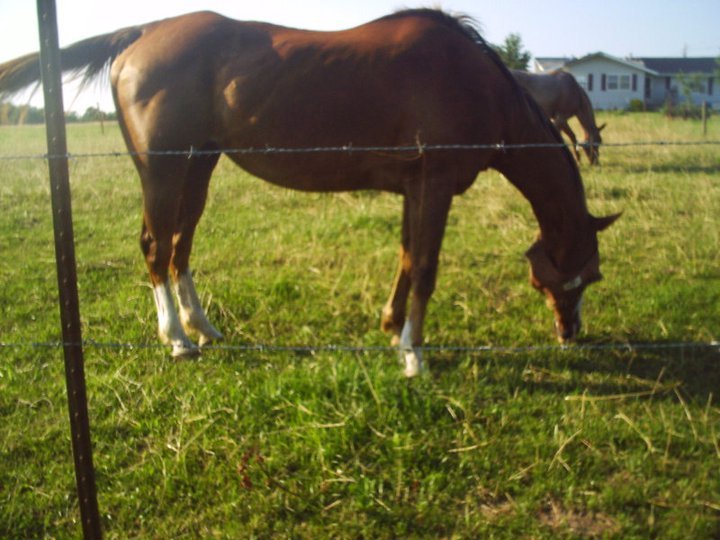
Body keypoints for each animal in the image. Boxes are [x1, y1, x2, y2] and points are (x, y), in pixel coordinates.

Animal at [0, 9, 619, 376]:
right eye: (587, 276)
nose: (571, 334)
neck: (474, 81)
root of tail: (142, 33)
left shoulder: (414, 188)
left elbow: (405, 256)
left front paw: (393, 329)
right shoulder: (437, 183)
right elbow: (425, 266)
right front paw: (414, 356)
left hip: (198, 167)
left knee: (180, 247)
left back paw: (203, 328)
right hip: (164, 170)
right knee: (156, 247)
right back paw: (176, 339)